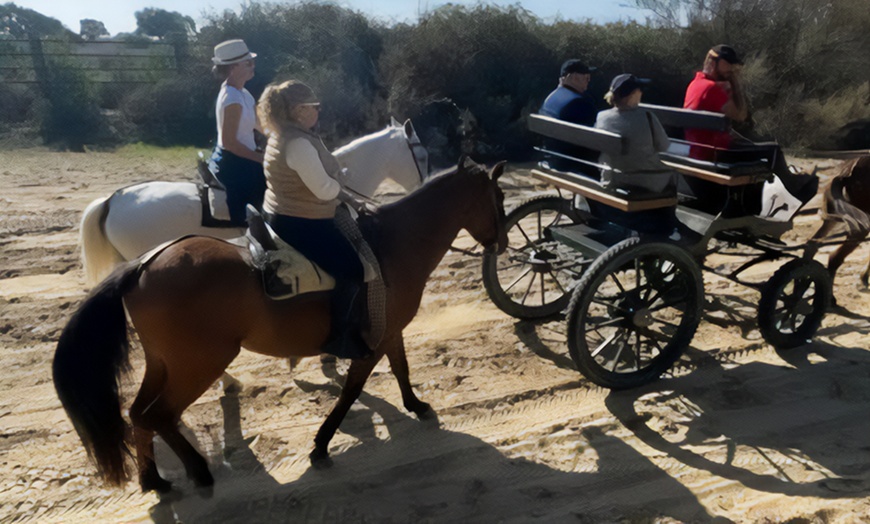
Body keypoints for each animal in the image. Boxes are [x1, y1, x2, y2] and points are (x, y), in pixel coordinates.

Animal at [53, 159, 507, 493]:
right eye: (499, 196)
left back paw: (154, 479)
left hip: (164, 363)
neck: (389, 245)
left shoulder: (389, 330)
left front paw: (416, 405)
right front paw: (321, 445)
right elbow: (353, 389)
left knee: (137, 413)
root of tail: (143, 265)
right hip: (199, 364)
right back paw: (198, 470)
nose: (501, 242)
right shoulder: (371, 341)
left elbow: (400, 367)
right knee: (159, 414)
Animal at [806, 155, 870, 291]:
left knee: (812, 244)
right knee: (834, 257)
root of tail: (847, 175)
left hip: (833, 219)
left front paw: (863, 278)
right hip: (860, 225)